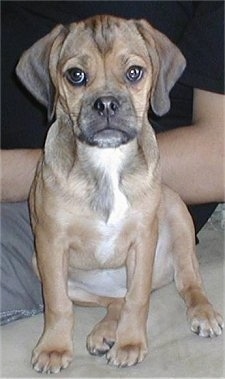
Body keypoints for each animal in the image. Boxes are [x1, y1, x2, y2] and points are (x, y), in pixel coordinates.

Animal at [16, 14, 223, 374]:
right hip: (40, 263)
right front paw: (55, 348)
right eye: (76, 75)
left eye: (134, 72)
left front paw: (130, 343)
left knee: (187, 281)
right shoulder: (51, 243)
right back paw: (104, 332)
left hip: (176, 214)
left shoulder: (142, 239)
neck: (106, 161)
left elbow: (138, 299)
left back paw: (203, 312)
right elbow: (57, 304)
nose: (107, 104)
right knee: (113, 301)